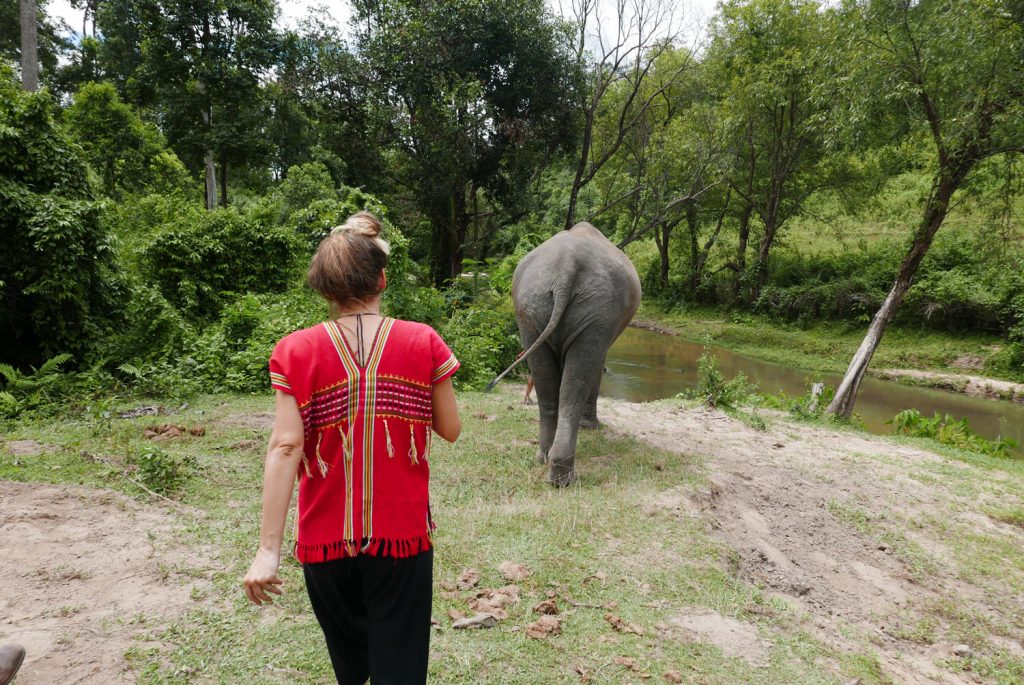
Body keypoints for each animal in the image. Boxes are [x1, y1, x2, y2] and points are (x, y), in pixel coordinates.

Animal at [489, 222, 641, 486]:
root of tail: (567, 266)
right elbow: (595, 367)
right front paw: (590, 427)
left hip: (531, 308)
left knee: (546, 379)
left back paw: (544, 458)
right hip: (596, 311)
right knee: (578, 377)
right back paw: (562, 476)